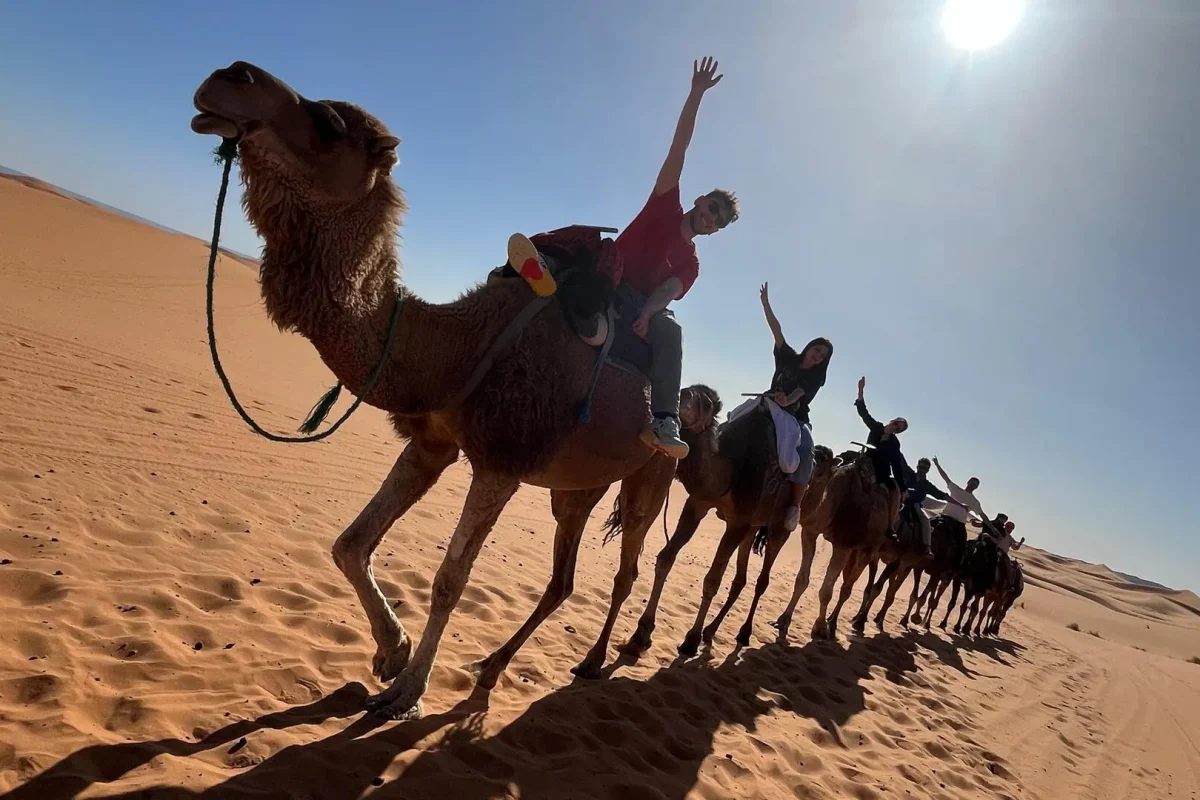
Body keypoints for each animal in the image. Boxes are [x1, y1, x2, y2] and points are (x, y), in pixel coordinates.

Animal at [190, 61, 681, 720]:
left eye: (329, 124)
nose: (229, 75)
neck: (455, 352)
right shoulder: (434, 441)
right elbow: (350, 542)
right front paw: (390, 653)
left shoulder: (500, 459)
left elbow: (451, 580)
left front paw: (406, 690)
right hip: (577, 484)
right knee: (564, 577)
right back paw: (491, 668)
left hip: (650, 475)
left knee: (629, 565)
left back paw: (600, 658)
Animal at [620, 388, 835, 656]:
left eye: (690, 400)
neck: (731, 469)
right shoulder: (699, 504)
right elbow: (666, 559)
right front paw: (642, 633)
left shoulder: (738, 523)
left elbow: (713, 579)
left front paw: (690, 640)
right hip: (753, 526)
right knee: (740, 580)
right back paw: (711, 631)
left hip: (779, 527)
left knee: (762, 579)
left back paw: (743, 633)